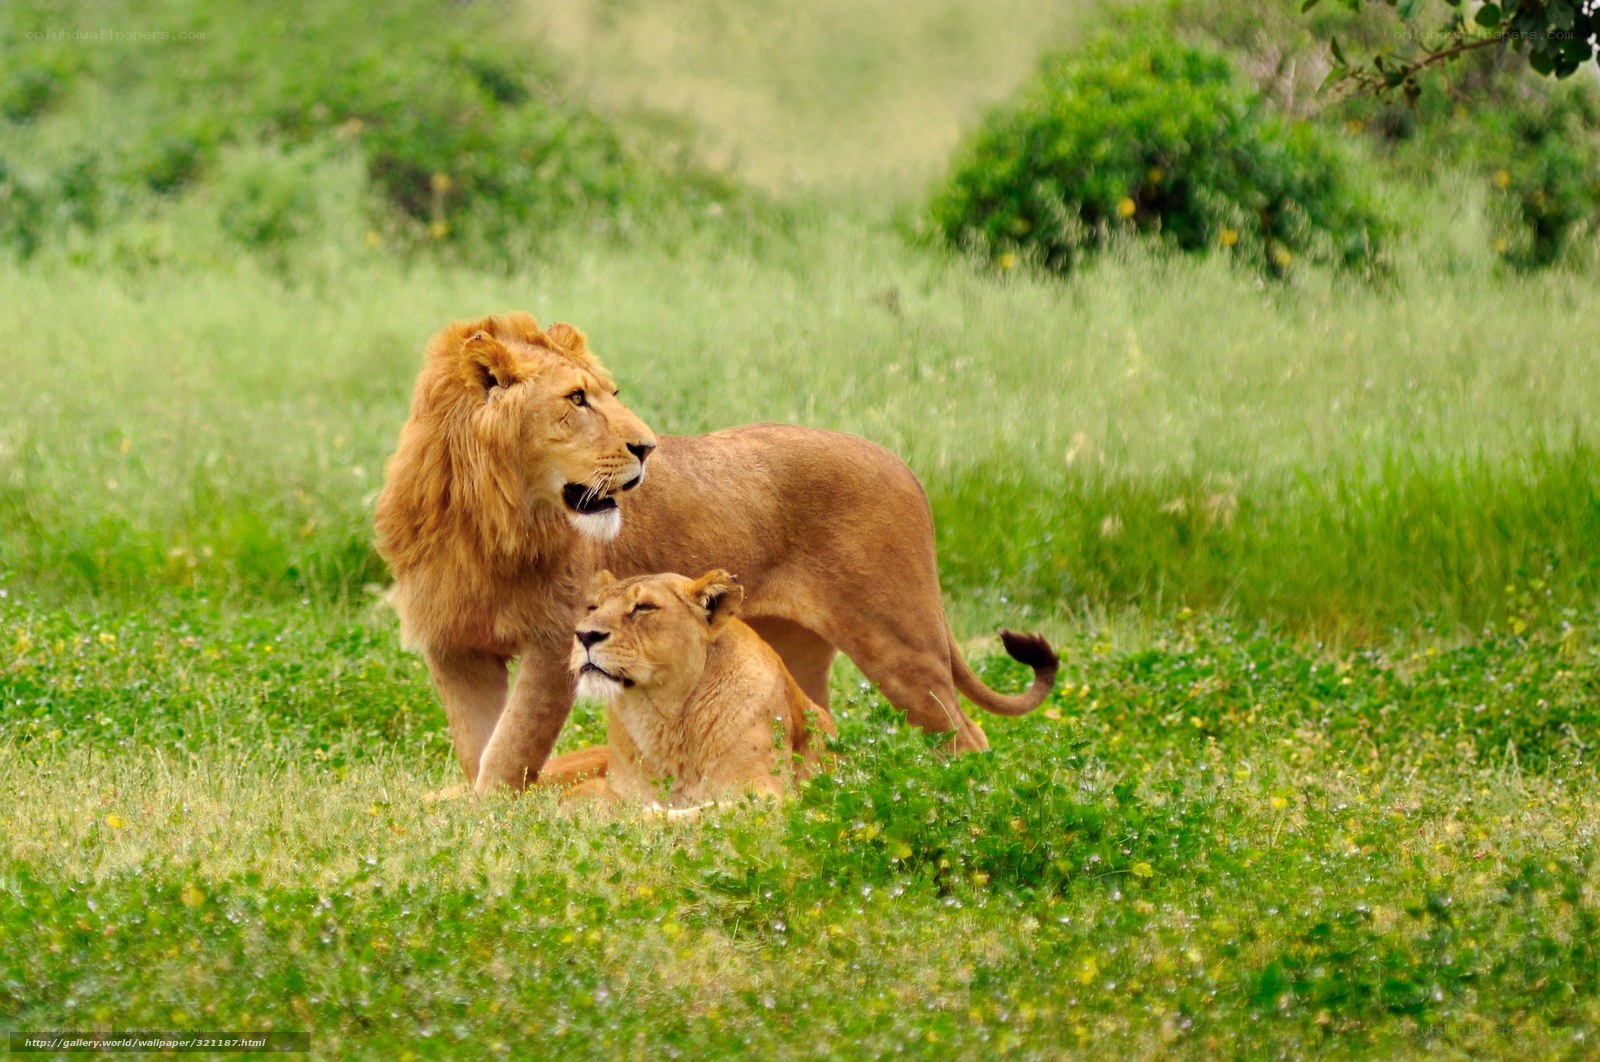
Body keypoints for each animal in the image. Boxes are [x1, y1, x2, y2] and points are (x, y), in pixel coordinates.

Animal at [558, 568, 835, 809]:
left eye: (644, 607)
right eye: (594, 608)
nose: (585, 635)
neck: (661, 718)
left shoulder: (766, 794)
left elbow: (706, 811)